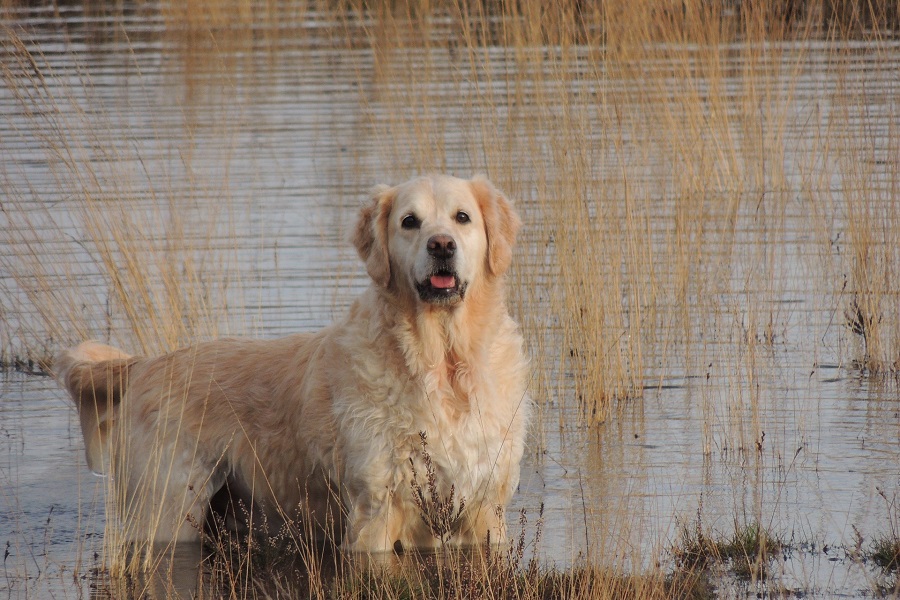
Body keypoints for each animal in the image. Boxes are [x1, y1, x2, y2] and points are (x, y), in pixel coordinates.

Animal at [52, 173, 532, 552]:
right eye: (409, 221)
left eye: (462, 218)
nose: (441, 245)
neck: (442, 363)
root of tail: (145, 364)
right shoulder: (376, 508)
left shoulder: (485, 508)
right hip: (167, 508)